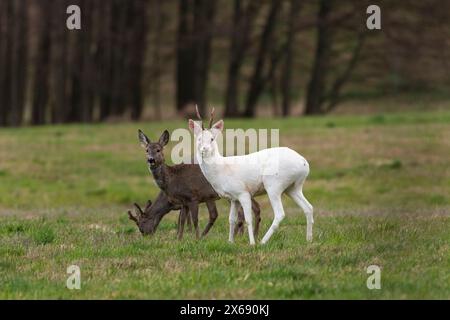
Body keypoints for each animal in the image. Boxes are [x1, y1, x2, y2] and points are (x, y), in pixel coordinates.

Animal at [188, 108, 314, 245]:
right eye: (199, 139)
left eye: (212, 138)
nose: (204, 149)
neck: (222, 169)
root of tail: (304, 163)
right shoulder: (233, 198)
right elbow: (231, 219)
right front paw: (230, 242)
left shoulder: (243, 193)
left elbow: (248, 219)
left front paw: (252, 243)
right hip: (293, 188)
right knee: (308, 207)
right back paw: (309, 239)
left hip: (273, 186)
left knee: (280, 213)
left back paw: (262, 242)